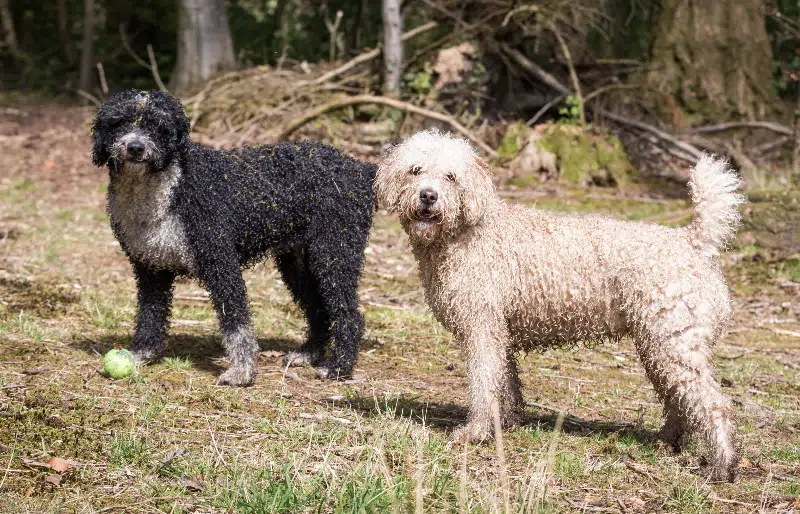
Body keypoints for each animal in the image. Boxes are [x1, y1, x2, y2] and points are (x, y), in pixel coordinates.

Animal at [90, 89, 376, 384]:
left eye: (157, 124)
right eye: (119, 122)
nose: (135, 147)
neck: (168, 186)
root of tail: (360, 168)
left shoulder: (220, 263)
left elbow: (236, 321)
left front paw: (242, 370)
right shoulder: (150, 268)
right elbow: (150, 315)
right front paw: (141, 353)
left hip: (334, 254)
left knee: (349, 315)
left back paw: (338, 366)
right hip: (299, 264)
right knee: (318, 310)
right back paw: (307, 354)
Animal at [376, 128, 744, 480]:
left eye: (451, 177)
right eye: (415, 170)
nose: (428, 195)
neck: (468, 231)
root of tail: (694, 241)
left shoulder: (482, 328)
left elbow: (483, 384)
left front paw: (476, 432)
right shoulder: (499, 331)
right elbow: (505, 383)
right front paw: (507, 422)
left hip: (673, 342)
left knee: (714, 405)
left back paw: (721, 466)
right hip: (659, 344)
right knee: (680, 399)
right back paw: (667, 441)